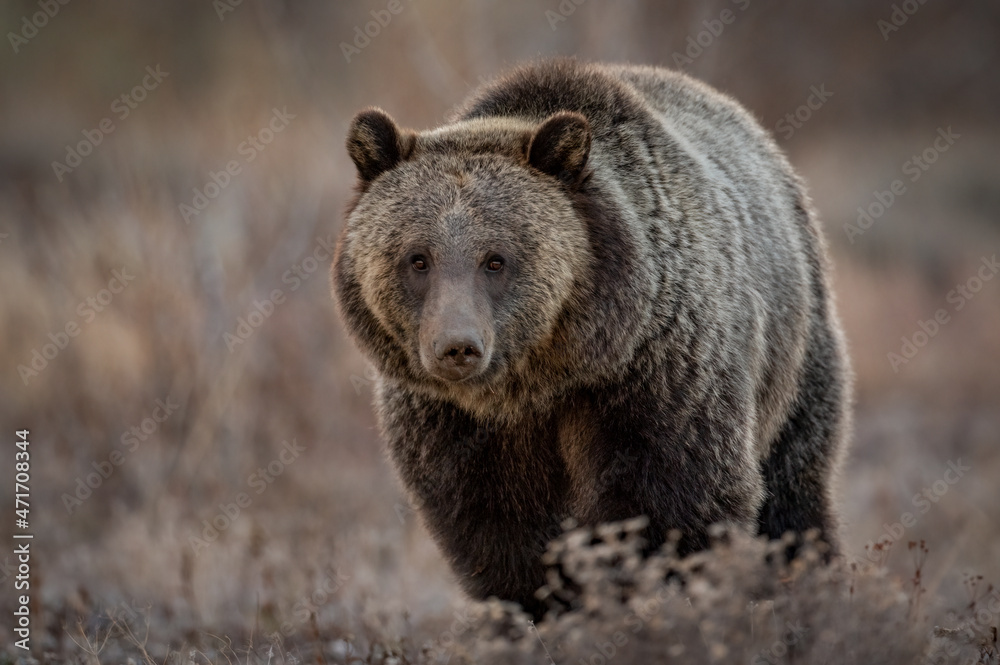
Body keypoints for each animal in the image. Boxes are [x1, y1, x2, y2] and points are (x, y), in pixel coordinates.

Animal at [334, 58, 852, 616]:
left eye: (496, 259)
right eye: (417, 258)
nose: (457, 346)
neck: (543, 379)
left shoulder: (656, 376)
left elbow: (674, 504)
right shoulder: (454, 426)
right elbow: (496, 532)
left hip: (796, 354)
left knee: (793, 490)